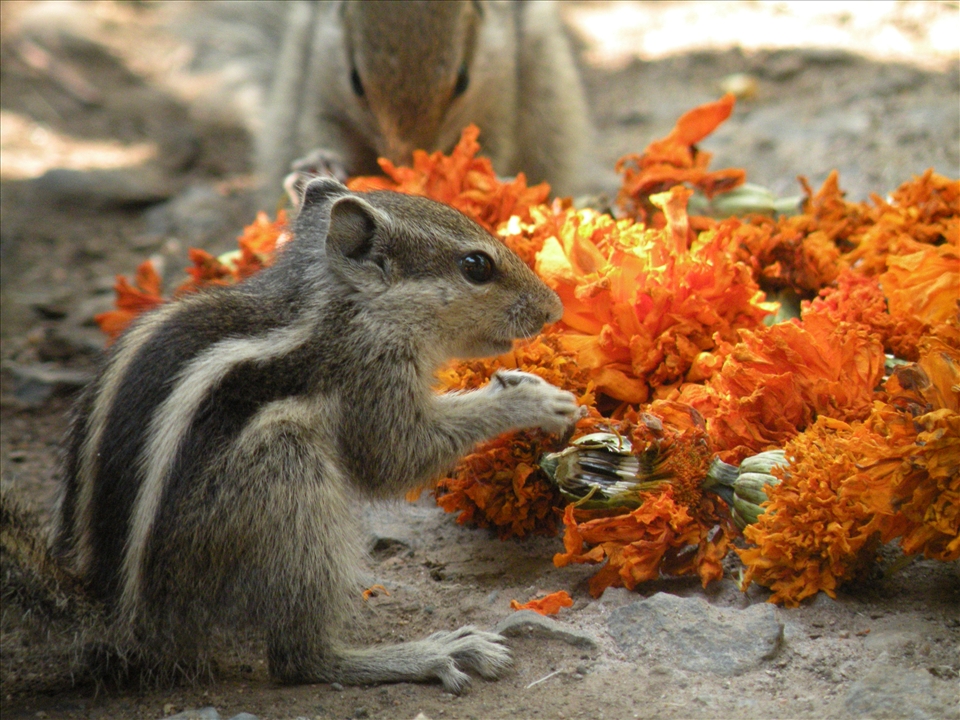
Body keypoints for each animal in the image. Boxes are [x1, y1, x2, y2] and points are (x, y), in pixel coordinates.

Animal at [50, 177, 580, 689]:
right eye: (476, 266)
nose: (554, 309)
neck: (339, 309)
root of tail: (127, 626)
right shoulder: (370, 377)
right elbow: (396, 456)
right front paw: (533, 400)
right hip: (286, 490)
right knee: (300, 660)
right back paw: (428, 653)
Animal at [255, 0, 593, 208]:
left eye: (463, 80)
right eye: (355, 81)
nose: (405, 163)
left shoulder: (499, 102)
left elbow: (492, 149)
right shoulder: (318, 94)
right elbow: (320, 134)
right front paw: (319, 166)